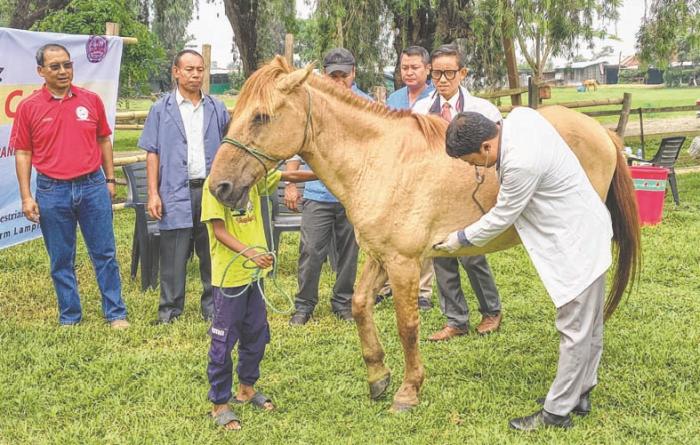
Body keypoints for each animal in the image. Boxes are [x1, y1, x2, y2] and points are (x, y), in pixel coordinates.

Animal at [208, 56, 640, 412]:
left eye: (261, 116)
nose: (219, 187)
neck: (379, 160)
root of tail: (602, 132)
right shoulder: (378, 255)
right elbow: (361, 306)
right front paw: (378, 377)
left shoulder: (403, 263)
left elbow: (407, 325)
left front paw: (408, 391)